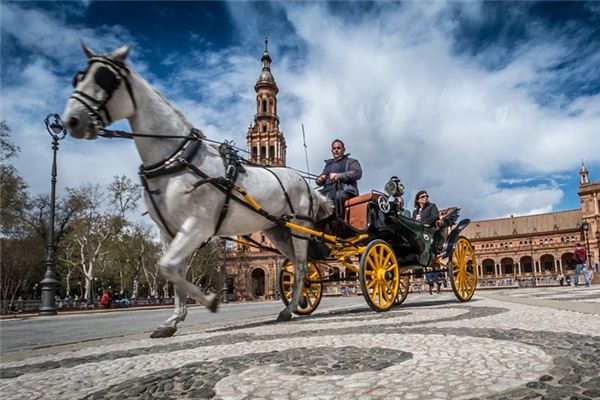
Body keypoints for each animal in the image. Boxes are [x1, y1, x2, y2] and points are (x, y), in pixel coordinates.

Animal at [63, 43, 330, 338]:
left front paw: (209, 301)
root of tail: (306, 185)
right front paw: (173, 319)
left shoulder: (198, 225)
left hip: (298, 227)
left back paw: (289, 308)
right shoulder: (169, 232)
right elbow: (172, 270)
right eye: (78, 77)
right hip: (279, 231)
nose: (71, 120)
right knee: (298, 266)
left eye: (104, 78)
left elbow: (168, 267)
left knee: (302, 266)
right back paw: (298, 302)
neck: (176, 159)